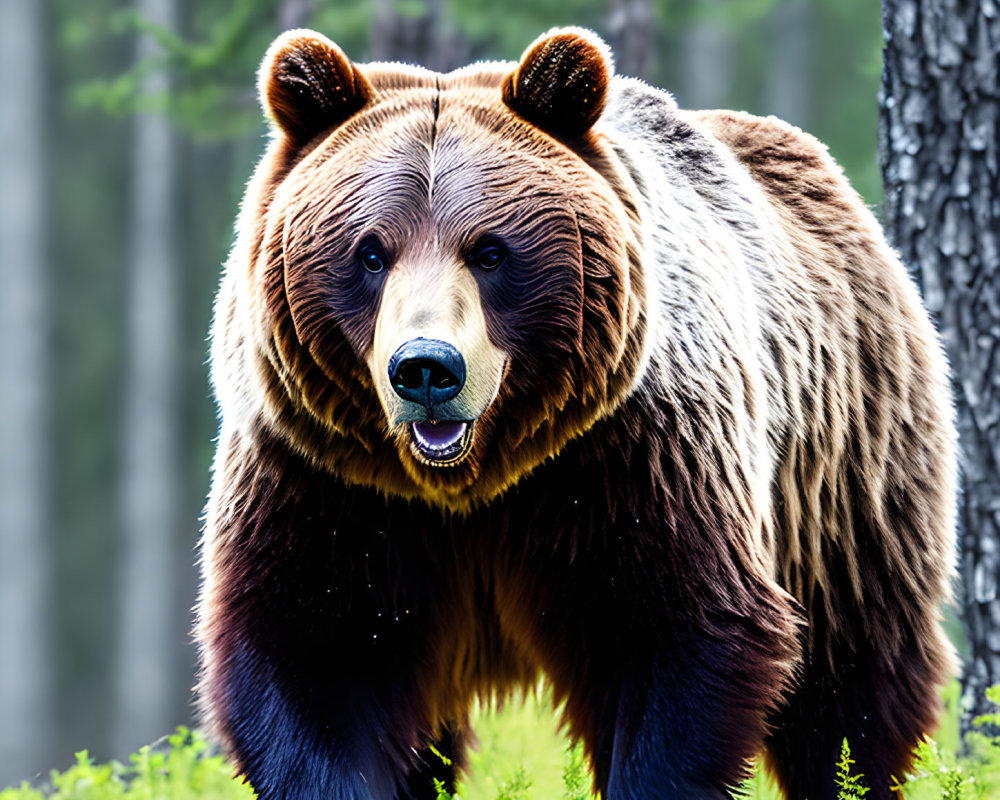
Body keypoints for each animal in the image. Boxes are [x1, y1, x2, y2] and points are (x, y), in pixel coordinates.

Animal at [193, 25, 952, 800]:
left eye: (490, 250)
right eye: (371, 253)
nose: (426, 369)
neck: (471, 481)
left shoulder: (632, 454)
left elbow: (682, 638)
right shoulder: (327, 479)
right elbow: (313, 656)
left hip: (844, 467)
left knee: (853, 679)